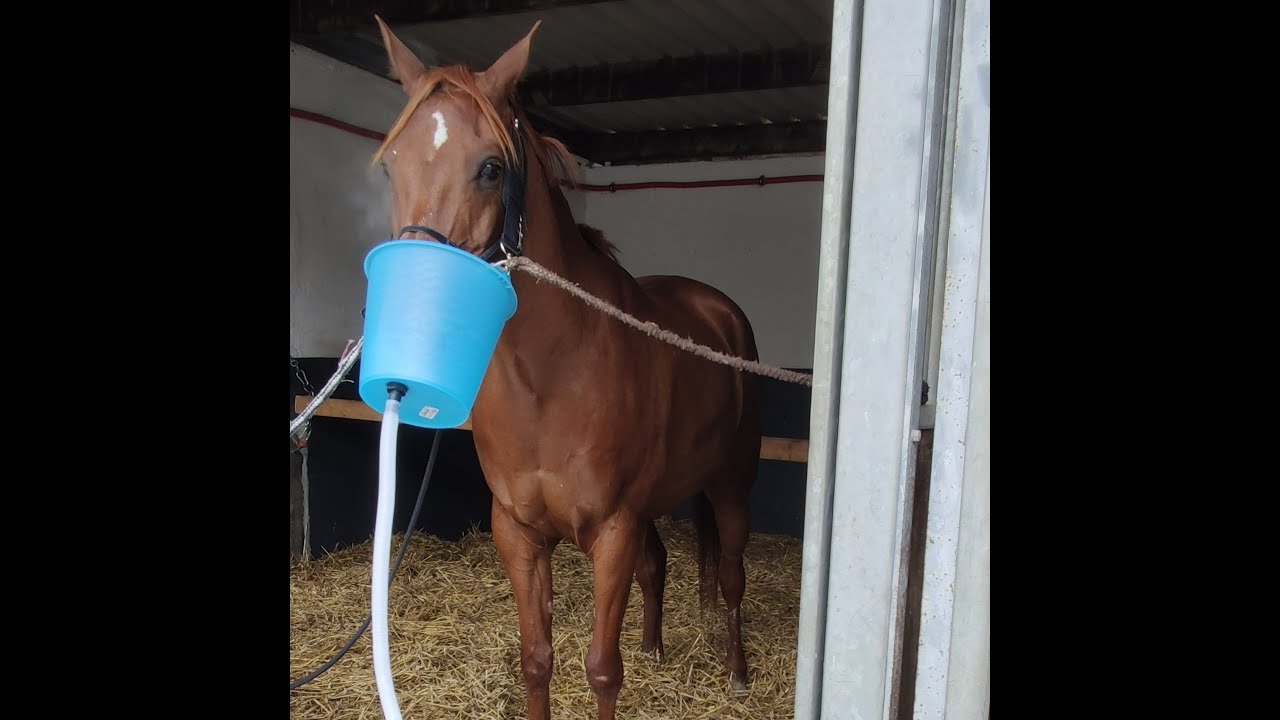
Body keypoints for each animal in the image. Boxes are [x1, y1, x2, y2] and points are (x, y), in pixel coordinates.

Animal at [370, 17, 762, 719]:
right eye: (391, 164)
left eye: (490, 168)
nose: (418, 301)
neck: (549, 378)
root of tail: (719, 310)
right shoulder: (519, 533)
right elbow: (537, 659)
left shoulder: (612, 531)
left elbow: (603, 669)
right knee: (658, 566)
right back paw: (656, 646)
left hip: (730, 487)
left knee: (731, 576)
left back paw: (737, 671)